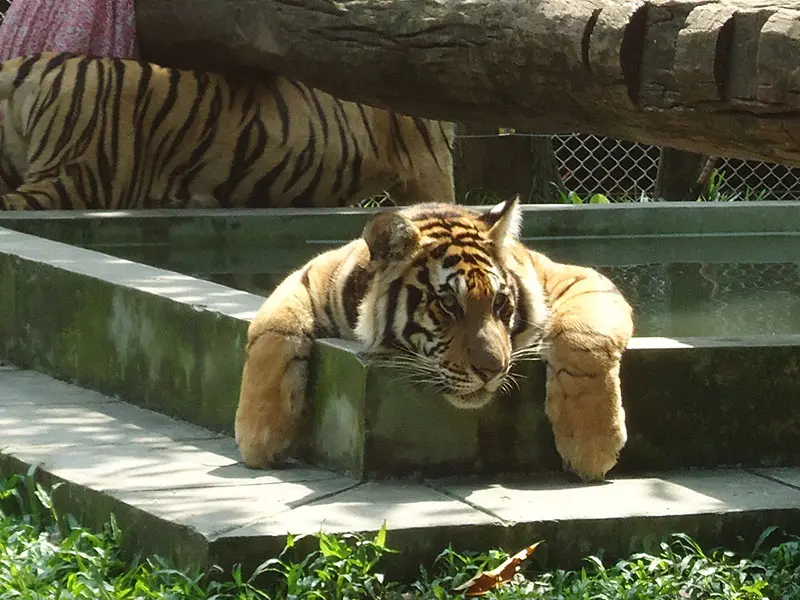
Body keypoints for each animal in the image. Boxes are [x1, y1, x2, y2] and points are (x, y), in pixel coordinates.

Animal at [234, 197, 636, 482]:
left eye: (500, 303)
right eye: (448, 304)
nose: (494, 370)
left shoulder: (577, 278)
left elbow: (583, 341)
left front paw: (593, 446)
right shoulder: (309, 276)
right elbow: (271, 332)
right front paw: (258, 439)